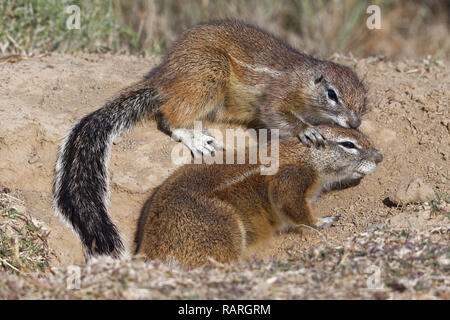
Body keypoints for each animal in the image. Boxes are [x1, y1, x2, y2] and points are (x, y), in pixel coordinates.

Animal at [53, 20, 370, 258]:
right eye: (332, 94)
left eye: (363, 100)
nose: (355, 122)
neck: (304, 80)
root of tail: (163, 78)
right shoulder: (278, 95)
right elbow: (276, 114)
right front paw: (306, 130)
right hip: (209, 72)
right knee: (170, 115)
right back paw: (194, 138)